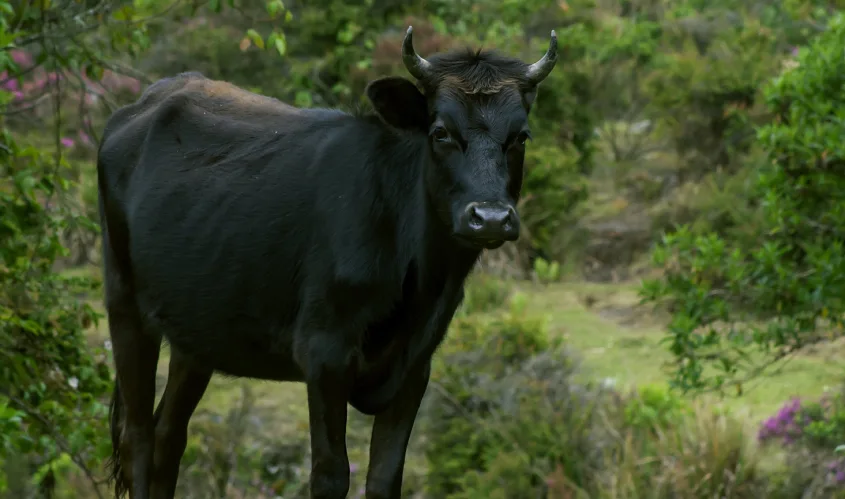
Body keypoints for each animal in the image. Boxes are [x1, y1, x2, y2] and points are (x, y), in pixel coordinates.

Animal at [99, 27, 556, 499]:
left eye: (521, 136)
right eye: (441, 132)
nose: (490, 217)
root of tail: (155, 96)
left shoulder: (415, 368)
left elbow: (385, 478)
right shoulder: (324, 354)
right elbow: (331, 475)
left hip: (195, 329)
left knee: (169, 435)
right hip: (125, 305)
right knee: (139, 435)